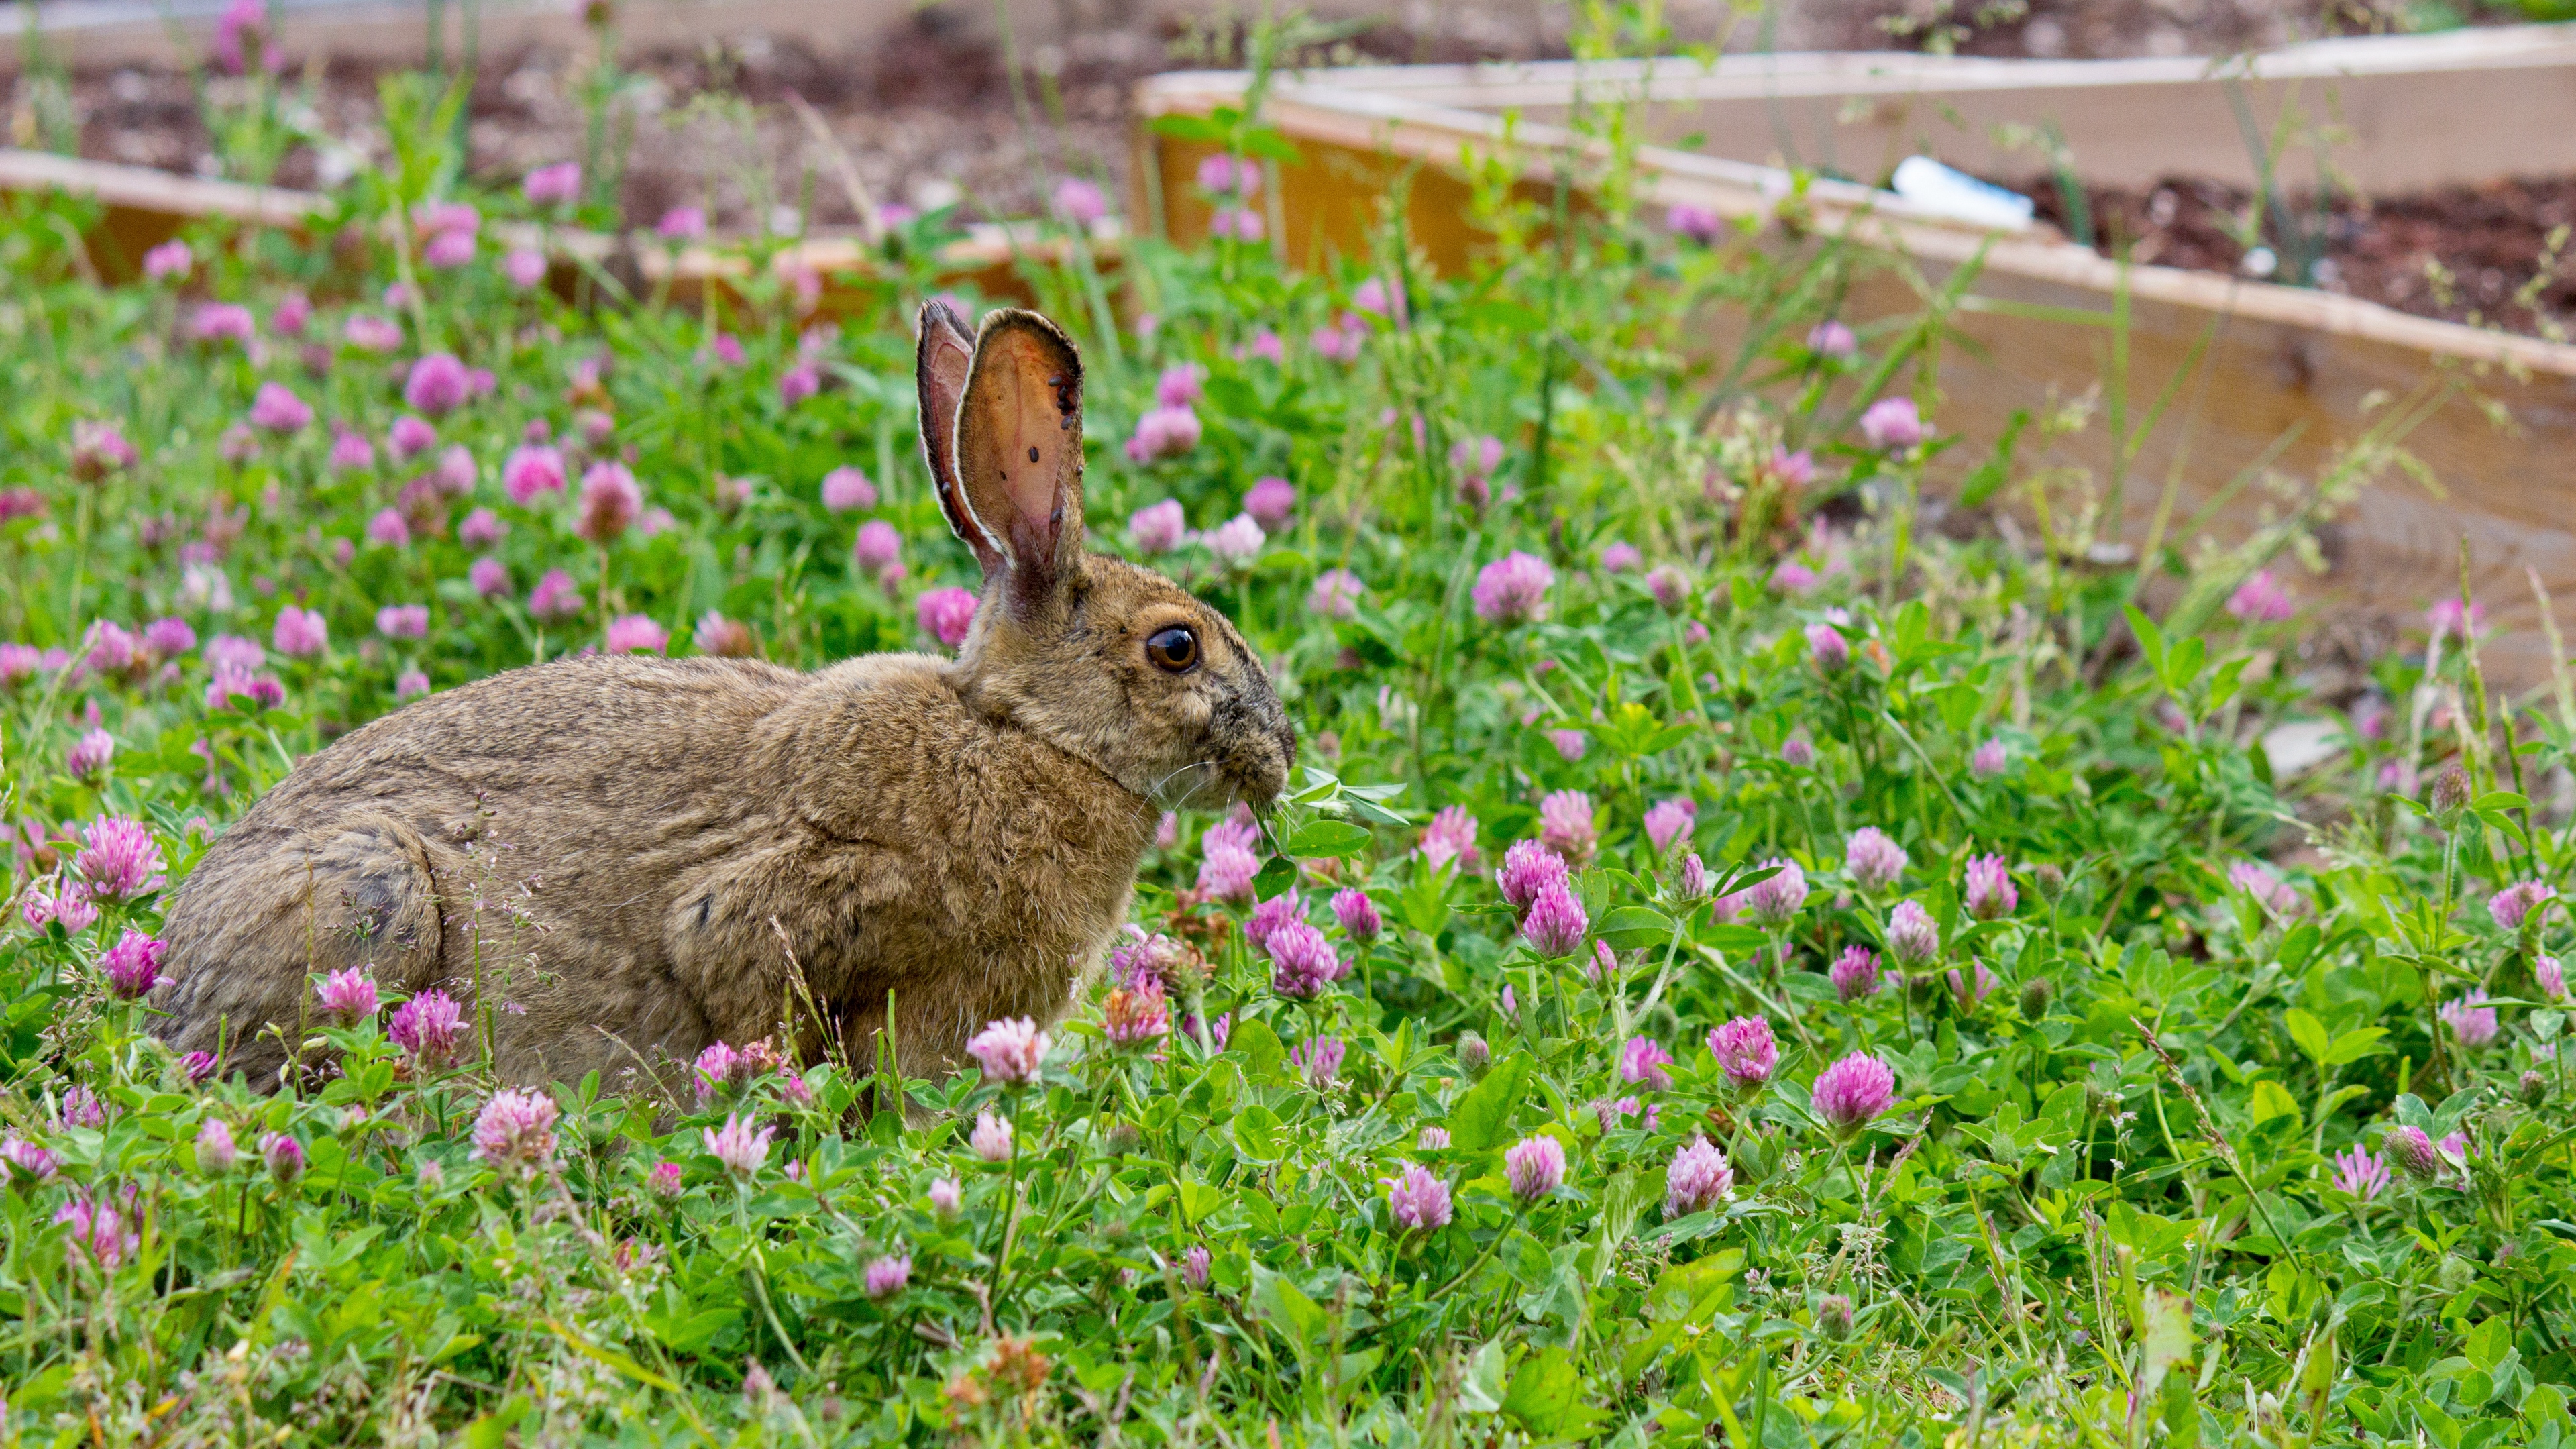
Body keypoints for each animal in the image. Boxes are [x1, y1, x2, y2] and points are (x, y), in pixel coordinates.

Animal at [150, 307, 1298, 1093]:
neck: (1027, 739)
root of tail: (166, 982)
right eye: (1177, 648)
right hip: (372, 894)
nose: (1282, 752)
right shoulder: (784, 911)